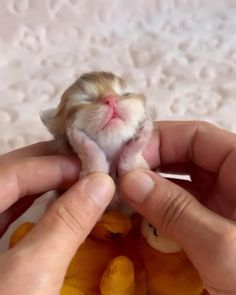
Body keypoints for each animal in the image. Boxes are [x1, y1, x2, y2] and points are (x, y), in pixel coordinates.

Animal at [41, 71, 152, 210]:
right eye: (87, 99)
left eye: (125, 94)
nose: (111, 99)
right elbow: (95, 170)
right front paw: (81, 142)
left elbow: (134, 169)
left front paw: (144, 133)